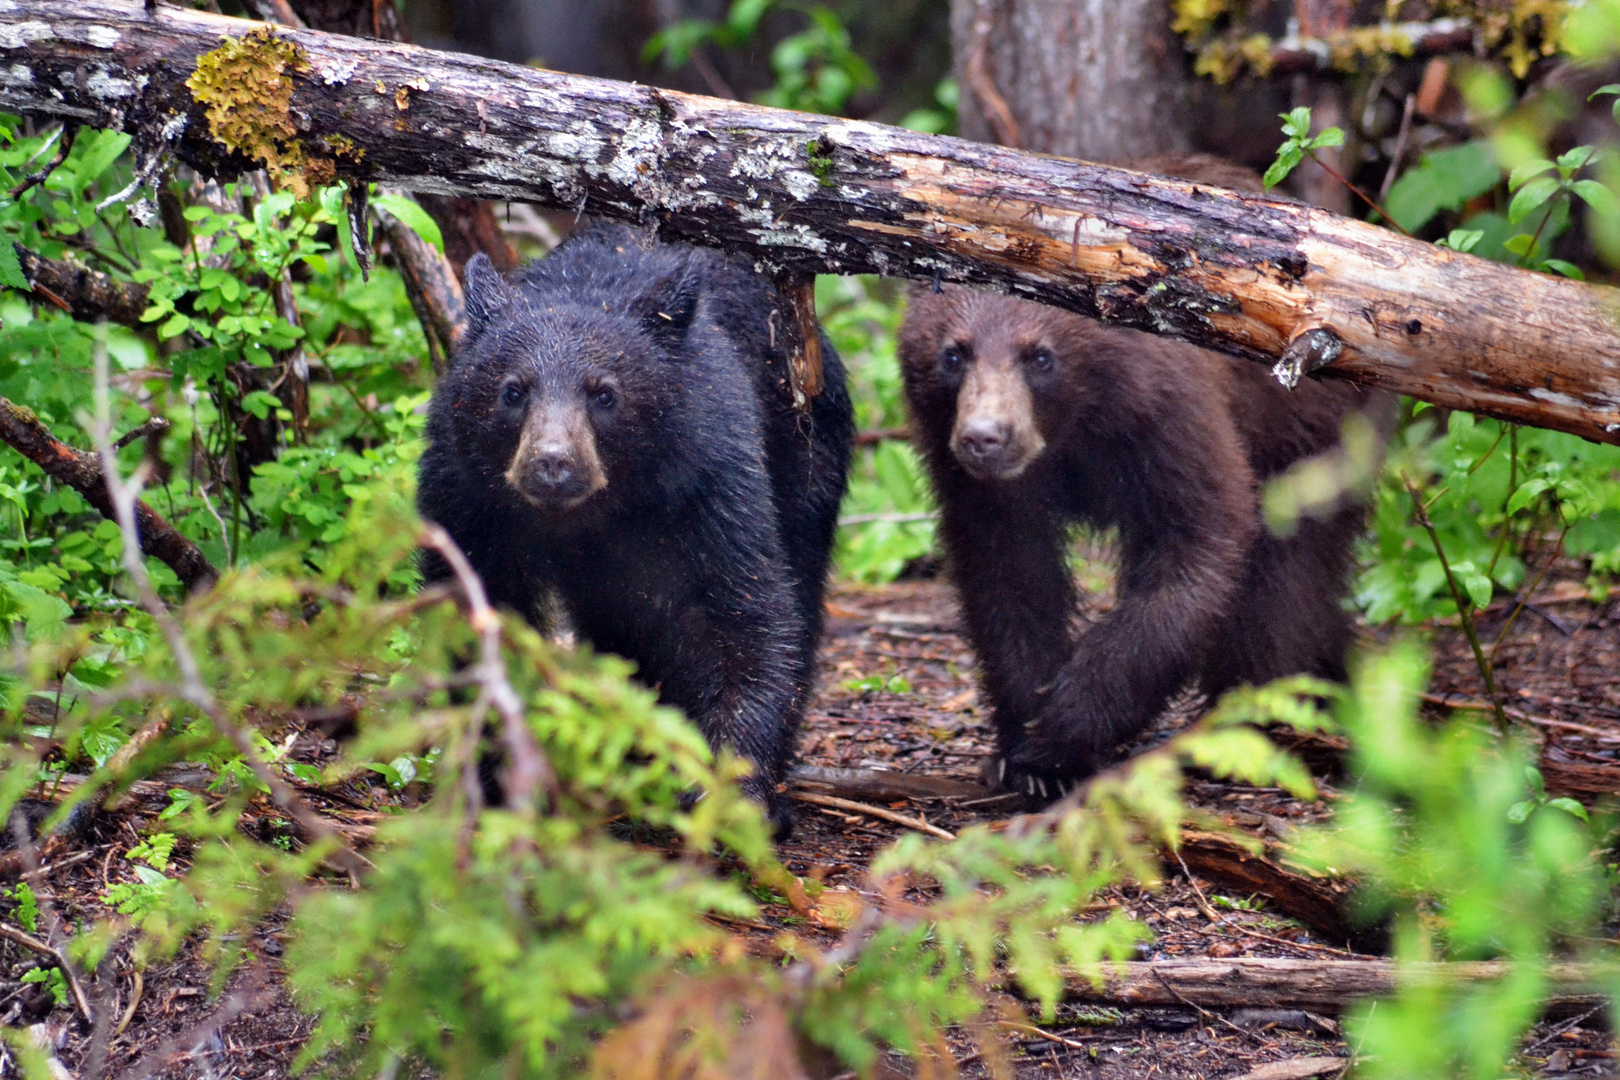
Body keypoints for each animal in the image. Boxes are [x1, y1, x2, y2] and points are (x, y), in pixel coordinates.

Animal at [417, 223, 855, 835]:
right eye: (513, 391)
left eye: (604, 394)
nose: (553, 463)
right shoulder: (465, 496)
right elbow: (477, 607)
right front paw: (492, 770)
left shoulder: (706, 479)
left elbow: (742, 611)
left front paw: (731, 787)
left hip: (808, 457)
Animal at [900, 158, 1393, 803]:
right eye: (954, 355)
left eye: (1040, 357)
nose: (985, 437)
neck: (1075, 432)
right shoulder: (985, 488)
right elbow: (1008, 575)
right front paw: (1025, 753)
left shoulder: (1166, 419)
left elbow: (1198, 543)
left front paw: (1067, 722)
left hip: (1313, 441)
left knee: (1286, 580)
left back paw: (1249, 714)